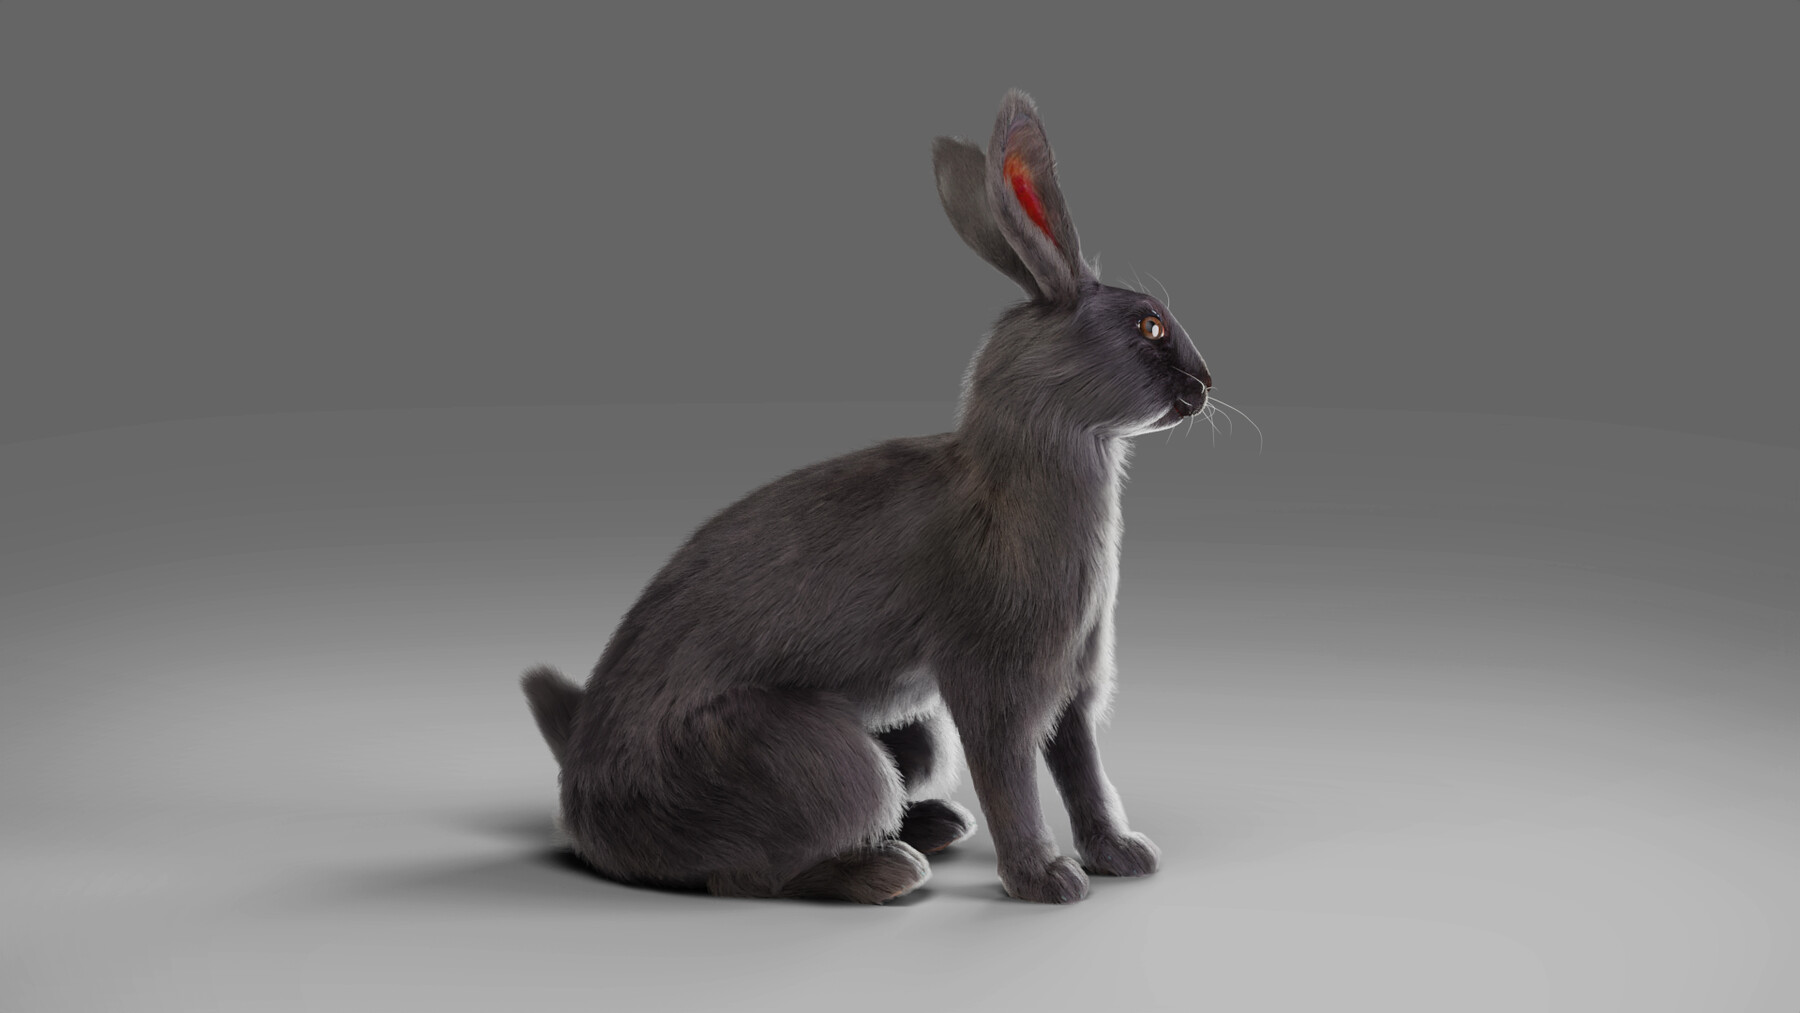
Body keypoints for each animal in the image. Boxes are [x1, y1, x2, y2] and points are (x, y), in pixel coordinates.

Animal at [521, 88, 1211, 904]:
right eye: (1150, 325)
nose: (1206, 386)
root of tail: (580, 795)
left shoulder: (1071, 681)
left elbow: (1083, 771)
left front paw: (1119, 854)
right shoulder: (997, 678)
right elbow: (1011, 776)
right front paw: (1046, 880)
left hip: (911, 733)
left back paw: (934, 825)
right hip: (818, 759)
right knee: (751, 869)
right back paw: (891, 867)